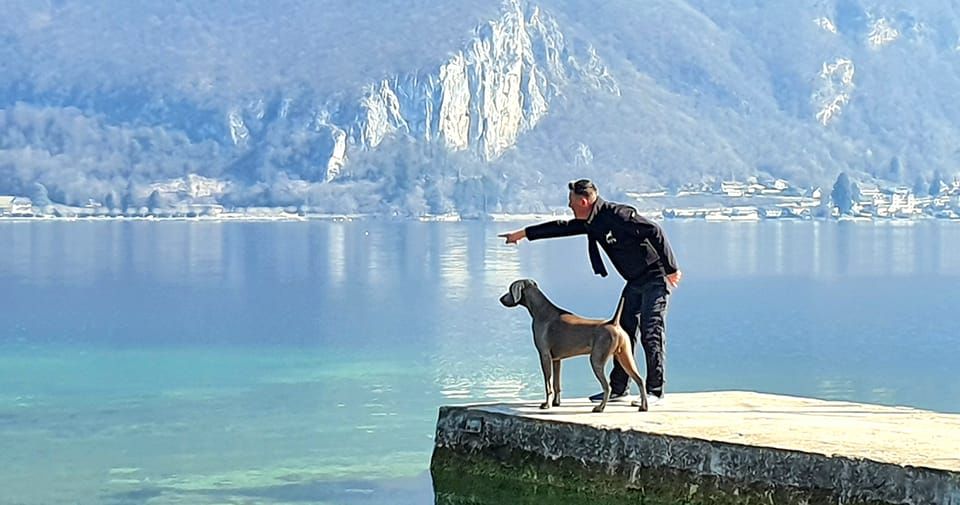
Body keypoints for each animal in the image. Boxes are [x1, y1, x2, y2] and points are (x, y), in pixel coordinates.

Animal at [498, 278, 648, 412]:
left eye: (510, 289)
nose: (501, 299)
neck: (542, 312)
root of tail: (613, 323)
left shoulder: (544, 356)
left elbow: (548, 384)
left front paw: (546, 405)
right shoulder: (556, 359)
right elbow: (556, 384)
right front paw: (556, 403)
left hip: (596, 360)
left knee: (607, 387)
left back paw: (600, 408)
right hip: (625, 357)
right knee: (640, 380)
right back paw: (643, 407)